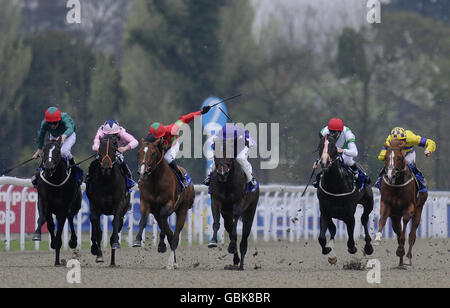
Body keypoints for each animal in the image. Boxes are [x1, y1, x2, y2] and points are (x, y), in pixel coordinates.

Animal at [32, 138, 81, 266]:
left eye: (58, 152)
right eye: (44, 150)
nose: (48, 168)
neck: (54, 180)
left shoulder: (63, 208)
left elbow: (60, 227)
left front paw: (57, 246)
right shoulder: (43, 201)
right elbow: (44, 220)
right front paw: (37, 235)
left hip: (75, 205)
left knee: (70, 217)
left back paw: (72, 242)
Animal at [86, 135, 131, 268]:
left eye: (113, 148)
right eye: (100, 149)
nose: (106, 167)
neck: (106, 181)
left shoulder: (118, 205)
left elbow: (115, 224)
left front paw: (115, 243)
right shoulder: (94, 206)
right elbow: (98, 231)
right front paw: (98, 253)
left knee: (118, 225)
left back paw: (113, 261)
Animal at [135, 138, 195, 270]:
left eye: (153, 154)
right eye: (139, 152)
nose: (142, 172)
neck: (155, 181)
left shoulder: (168, 205)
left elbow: (163, 220)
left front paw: (161, 245)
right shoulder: (145, 203)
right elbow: (143, 220)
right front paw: (137, 240)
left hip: (182, 210)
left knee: (175, 236)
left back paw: (170, 263)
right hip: (157, 214)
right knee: (171, 234)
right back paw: (174, 262)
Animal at [316, 136, 376, 264]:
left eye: (333, 147)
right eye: (320, 146)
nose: (324, 162)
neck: (335, 187)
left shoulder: (349, 214)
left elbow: (351, 240)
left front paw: (353, 248)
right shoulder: (325, 212)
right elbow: (323, 237)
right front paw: (330, 252)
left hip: (369, 202)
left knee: (364, 219)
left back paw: (368, 247)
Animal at [374, 138, 428, 266]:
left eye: (399, 157)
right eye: (386, 157)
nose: (390, 175)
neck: (397, 184)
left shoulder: (409, 207)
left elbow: (405, 224)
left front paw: (401, 249)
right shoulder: (386, 203)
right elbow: (382, 219)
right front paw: (377, 238)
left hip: (419, 208)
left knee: (412, 234)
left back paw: (407, 257)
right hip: (395, 216)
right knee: (397, 230)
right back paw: (400, 261)